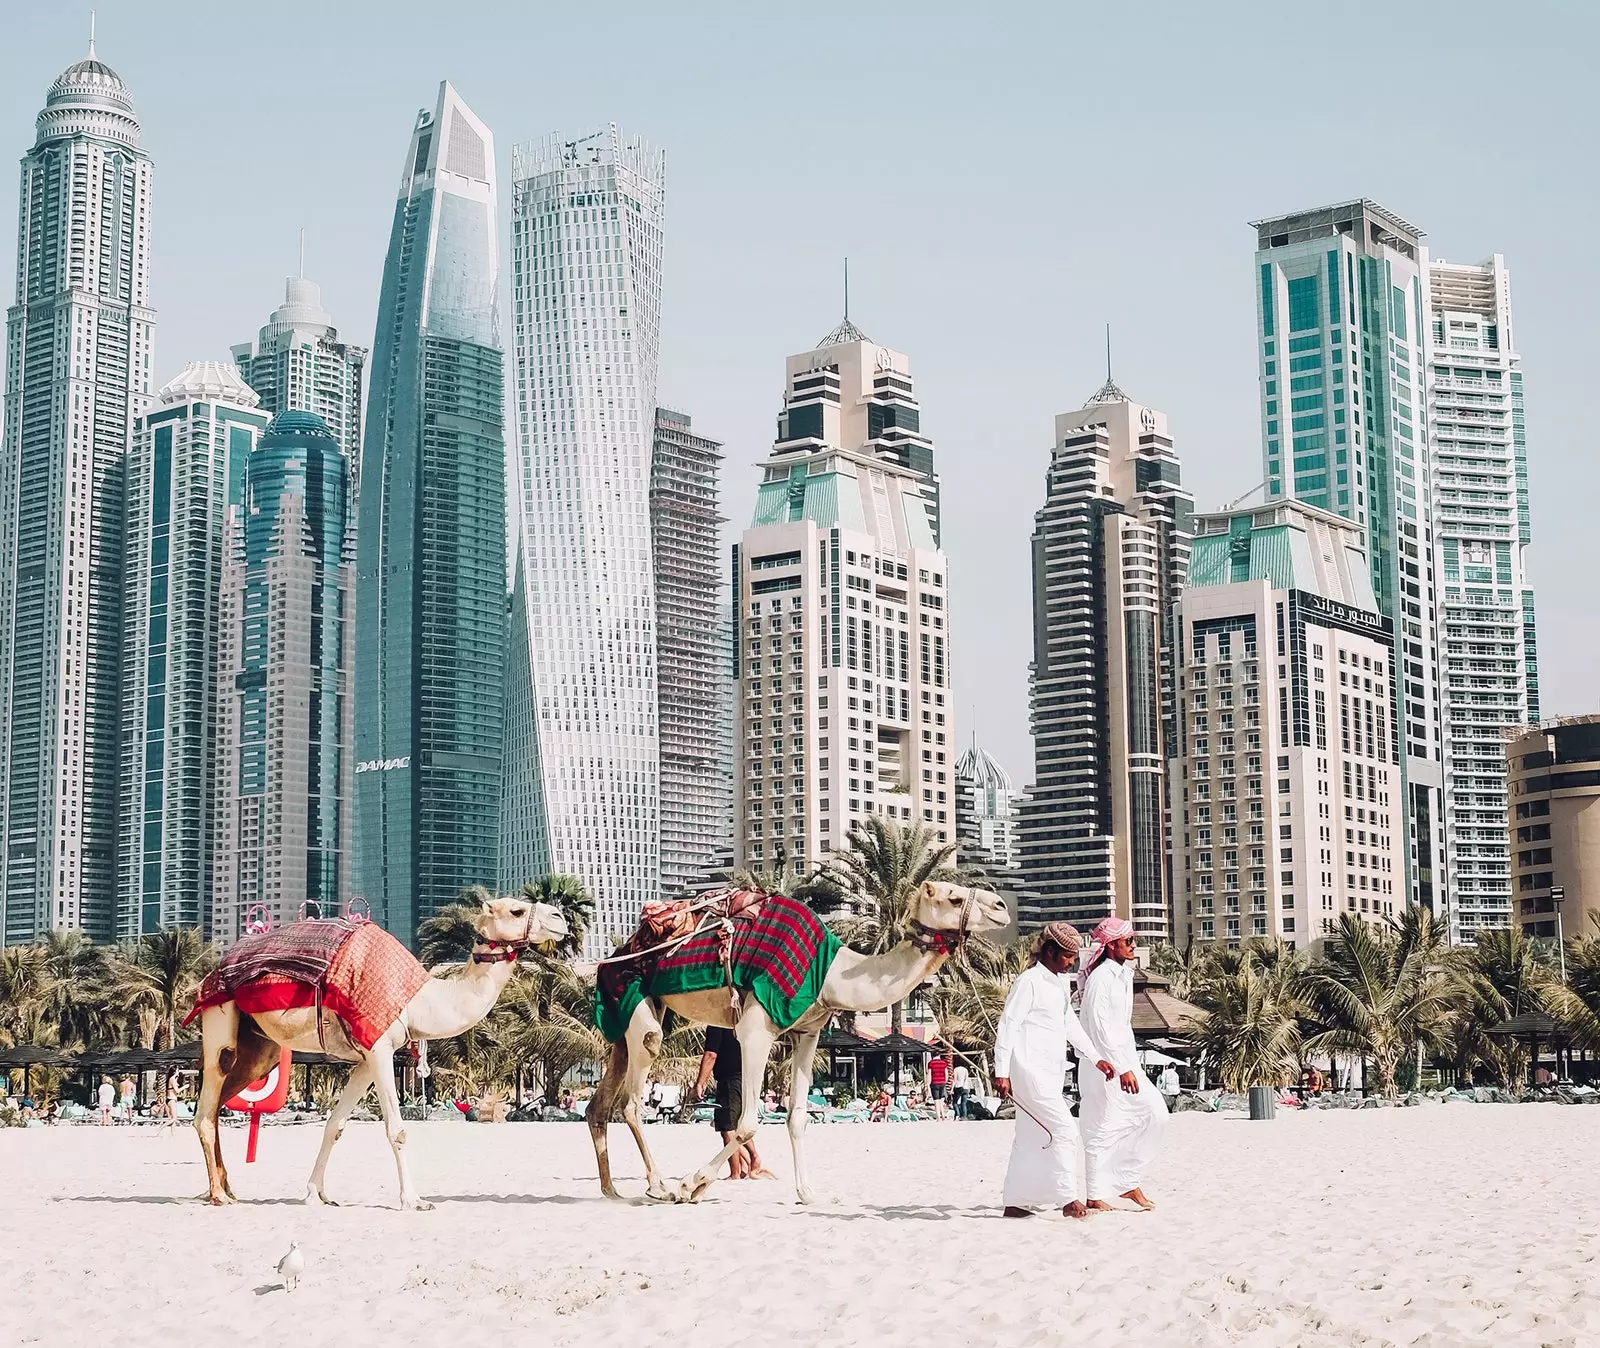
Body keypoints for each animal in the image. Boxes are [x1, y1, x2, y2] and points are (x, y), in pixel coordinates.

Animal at [192, 890, 569, 1210]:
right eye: (516, 910)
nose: (560, 917)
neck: (419, 1001)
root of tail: (211, 973)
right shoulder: (381, 1048)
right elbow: (397, 1130)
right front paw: (414, 1200)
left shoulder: (365, 1058)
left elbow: (335, 1125)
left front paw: (316, 1193)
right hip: (220, 1013)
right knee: (209, 1099)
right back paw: (217, 1195)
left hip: (260, 1046)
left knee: (224, 1098)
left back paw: (227, 1189)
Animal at [588, 877, 1004, 1203]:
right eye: (952, 897)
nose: (1001, 906)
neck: (830, 974)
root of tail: (614, 955)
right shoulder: (756, 1029)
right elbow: (748, 1123)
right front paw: (693, 1183)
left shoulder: (808, 1032)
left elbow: (798, 1117)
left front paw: (807, 1192)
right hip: (634, 997)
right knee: (633, 1098)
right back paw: (660, 1186)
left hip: (628, 1015)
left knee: (600, 1102)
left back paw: (611, 1191)